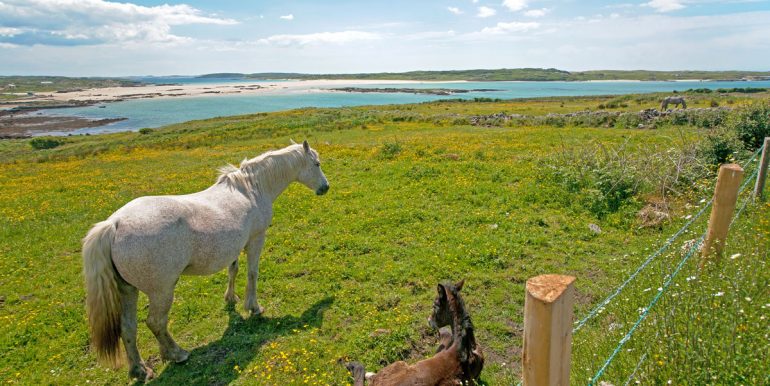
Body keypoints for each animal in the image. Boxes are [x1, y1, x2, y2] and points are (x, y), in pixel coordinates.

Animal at [82, 140, 328, 378]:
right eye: (316, 164)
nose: (325, 187)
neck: (252, 189)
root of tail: (114, 224)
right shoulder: (255, 240)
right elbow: (252, 273)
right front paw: (253, 307)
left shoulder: (234, 246)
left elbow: (233, 270)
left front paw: (231, 298)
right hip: (161, 291)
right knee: (156, 323)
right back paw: (177, 354)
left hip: (128, 290)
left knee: (128, 327)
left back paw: (140, 369)